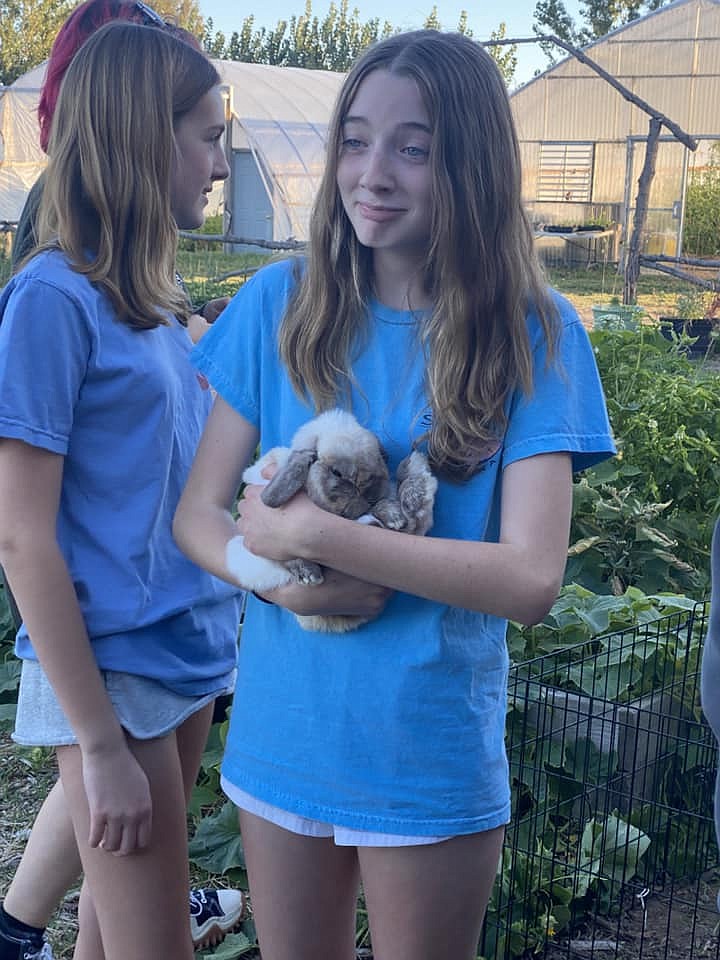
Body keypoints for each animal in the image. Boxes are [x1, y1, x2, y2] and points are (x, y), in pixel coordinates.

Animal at [226, 408, 438, 632]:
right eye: (336, 473)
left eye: (378, 458)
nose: (364, 490)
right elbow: (283, 554)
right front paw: (309, 575)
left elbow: (384, 505)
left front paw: (392, 514)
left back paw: (414, 474)